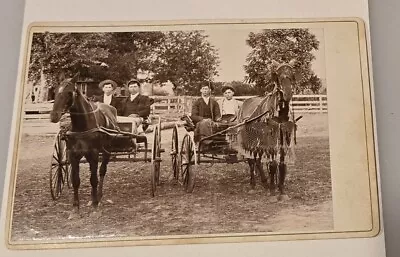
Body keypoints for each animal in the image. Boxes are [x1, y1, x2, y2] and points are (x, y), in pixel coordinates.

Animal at [49, 72, 119, 214]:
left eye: (69, 92)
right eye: (55, 91)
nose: (54, 116)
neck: (82, 126)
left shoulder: (93, 155)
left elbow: (94, 179)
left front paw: (95, 203)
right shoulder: (73, 155)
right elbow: (76, 180)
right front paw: (76, 206)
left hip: (106, 151)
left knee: (102, 172)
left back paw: (98, 195)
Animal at [236, 59, 298, 199]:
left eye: (292, 74)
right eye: (278, 75)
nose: (288, 93)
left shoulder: (284, 137)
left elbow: (282, 164)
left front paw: (281, 189)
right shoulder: (270, 138)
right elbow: (273, 163)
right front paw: (272, 189)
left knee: (257, 159)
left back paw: (264, 182)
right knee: (251, 160)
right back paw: (253, 184)